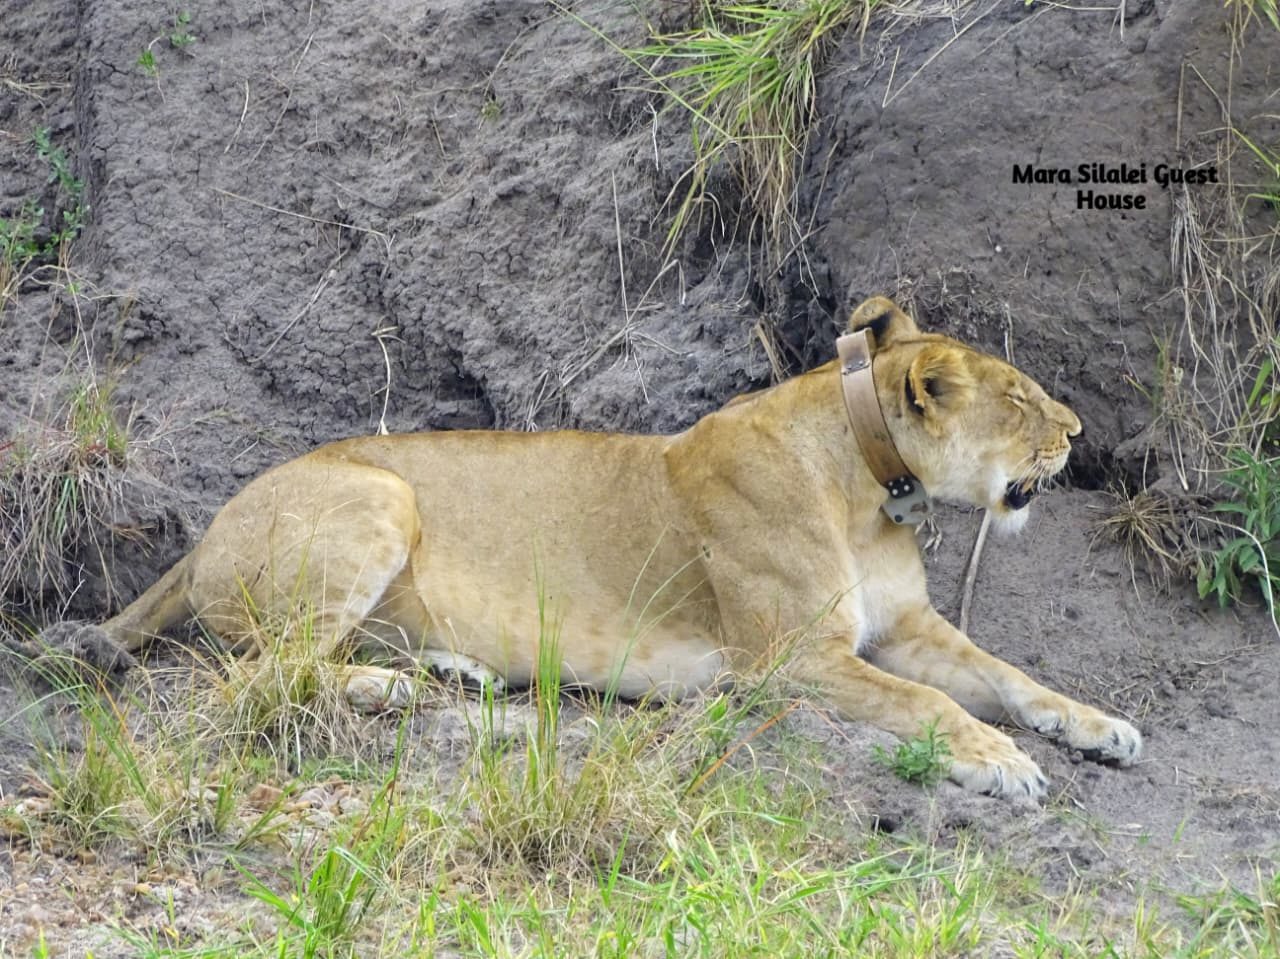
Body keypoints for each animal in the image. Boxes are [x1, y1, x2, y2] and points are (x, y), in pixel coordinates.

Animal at [66, 295, 1140, 800]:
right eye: (1020, 400)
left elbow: (1010, 675)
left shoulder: (907, 626)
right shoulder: (789, 659)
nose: (1079, 431)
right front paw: (1000, 761)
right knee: (256, 674)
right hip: (380, 494)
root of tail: (208, 525)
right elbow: (928, 705)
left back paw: (450, 669)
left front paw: (1099, 726)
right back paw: (396, 690)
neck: (872, 489)